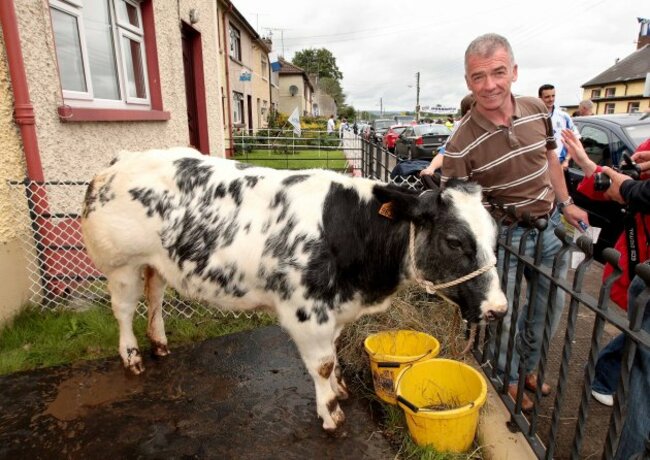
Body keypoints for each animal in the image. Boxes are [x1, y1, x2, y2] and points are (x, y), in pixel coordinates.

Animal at [81, 147, 506, 432]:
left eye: (494, 236)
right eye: (454, 241)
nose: (499, 309)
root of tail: (118, 161)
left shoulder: (335, 309)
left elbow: (333, 355)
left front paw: (339, 390)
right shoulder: (306, 311)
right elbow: (322, 363)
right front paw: (331, 413)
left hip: (156, 263)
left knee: (154, 298)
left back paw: (159, 343)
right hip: (122, 265)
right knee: (123, 310)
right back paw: (132, 357)